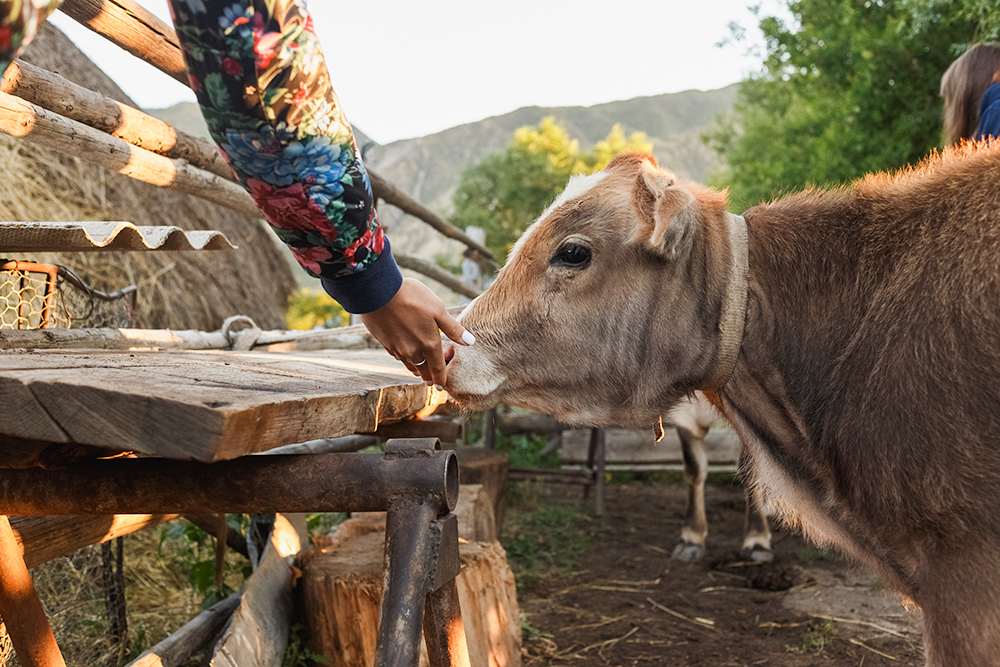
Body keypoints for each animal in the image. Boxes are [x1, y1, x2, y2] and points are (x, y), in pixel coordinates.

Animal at [450, 142, 1000, 667]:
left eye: (572, 252)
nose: (452, 344)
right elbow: (695, 471)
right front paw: (692, 537)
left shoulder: (963, 572)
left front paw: (756, 542)